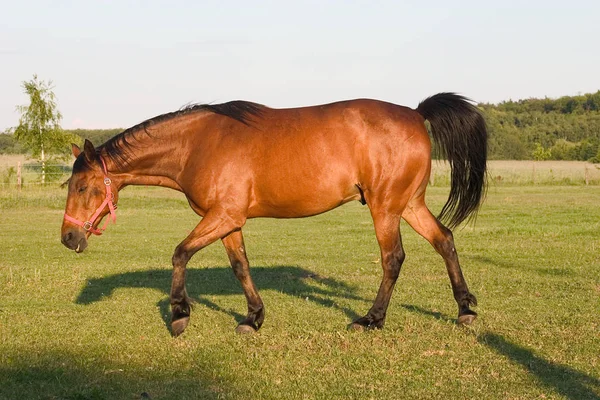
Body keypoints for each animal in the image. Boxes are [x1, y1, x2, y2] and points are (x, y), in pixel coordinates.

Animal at [59, 93, 488, 334]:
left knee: (393, 258)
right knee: (444, 240)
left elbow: (180, 253)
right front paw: (253, 318)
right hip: (409, 203)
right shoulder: (229, 221)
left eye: (81, 187)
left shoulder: (222, 216)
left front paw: (179, 314)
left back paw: (371, 319)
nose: (68, 237)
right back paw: (465, 309)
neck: (197, 144)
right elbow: (240, 267)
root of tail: (416, 113)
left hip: (385, 207)